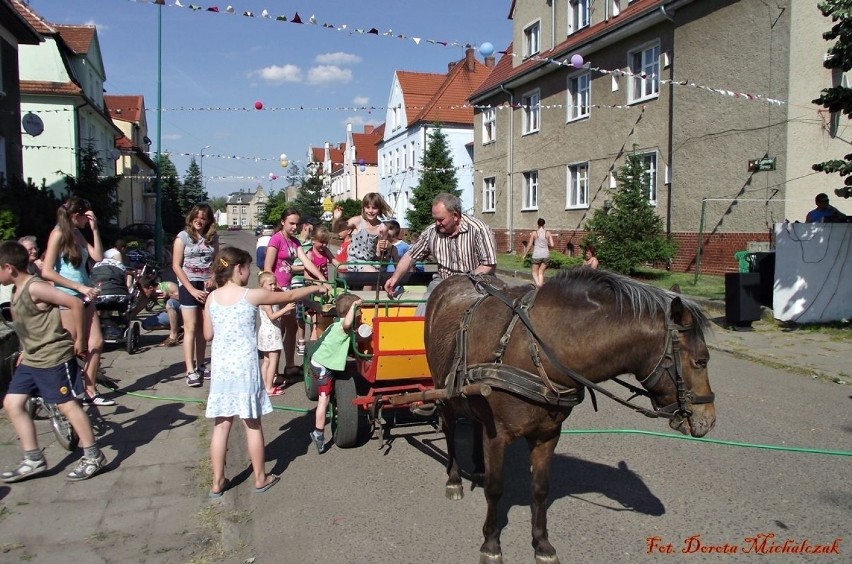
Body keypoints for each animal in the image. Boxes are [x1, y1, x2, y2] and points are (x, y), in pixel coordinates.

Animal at [422, 268, 716, 564]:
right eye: (701, 360)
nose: (709, 420)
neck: (534, 348)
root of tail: (454, 280)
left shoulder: (548, 434)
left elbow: (540, 489)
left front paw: (542, 544)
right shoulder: (498, 434)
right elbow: (495, 489)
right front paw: (491, 543)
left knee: (474, 421)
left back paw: (479, 466)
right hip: (443, 389)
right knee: (449, 429)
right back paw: (454, 479)